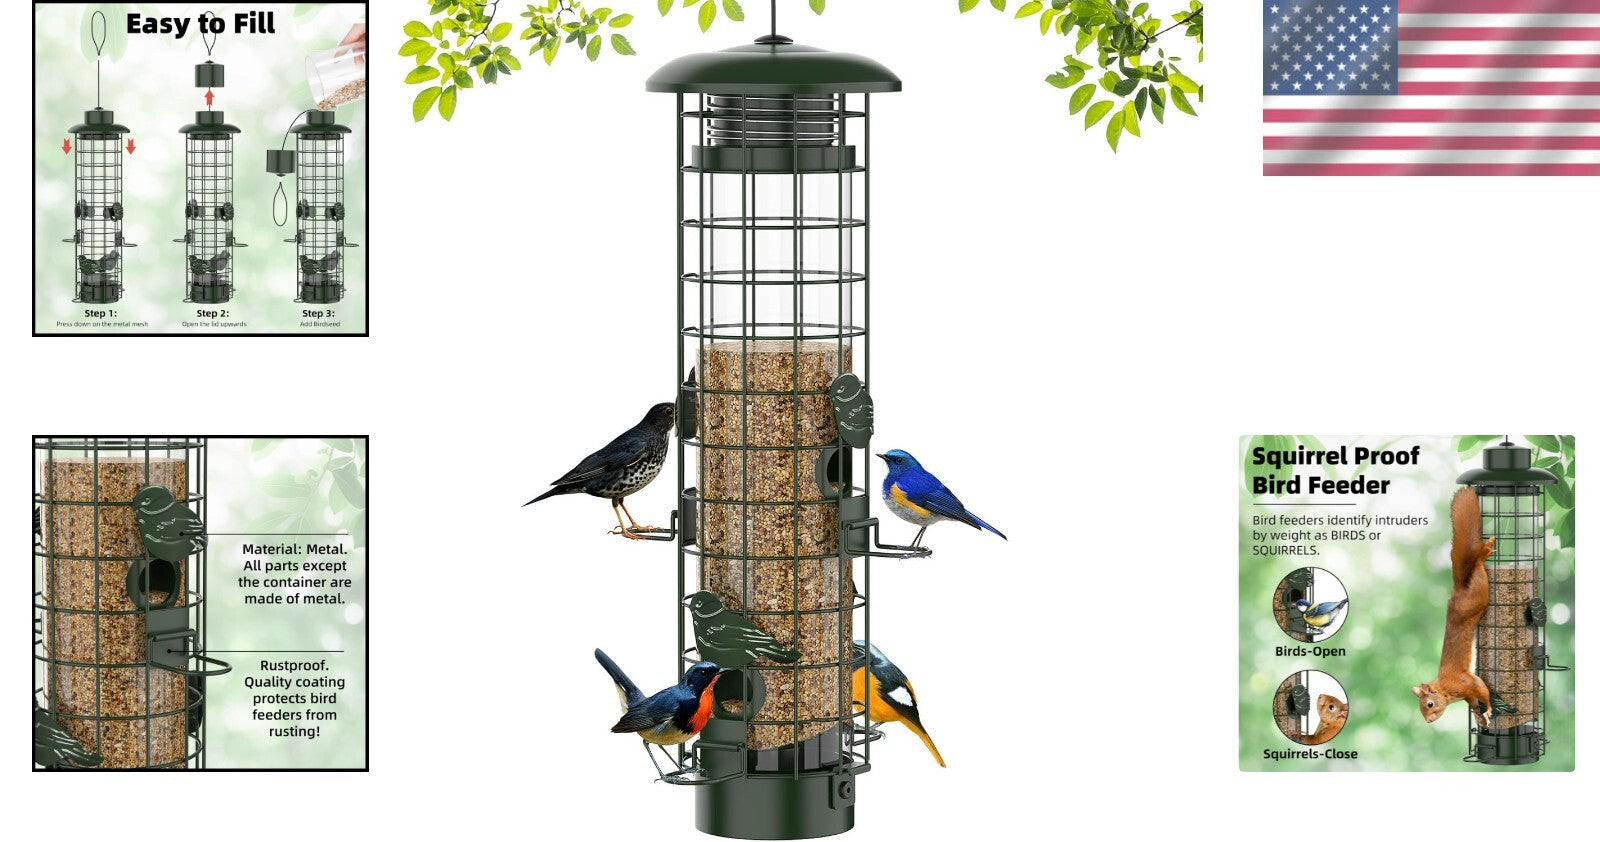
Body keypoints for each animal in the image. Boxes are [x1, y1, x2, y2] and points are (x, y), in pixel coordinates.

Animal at [1412, 487, 1496, 729]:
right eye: (1421, 708)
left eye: (1429, 704)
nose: (1429, 721)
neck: (1446, 689)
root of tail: (1458, 591)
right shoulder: (1466, 693)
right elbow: (1472, 700)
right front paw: (1477, 713)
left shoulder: (1466, 682)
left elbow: (1482, 691)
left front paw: (1488, 709)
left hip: (1478, 594)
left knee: (1478, 567)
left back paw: (1484, 553)